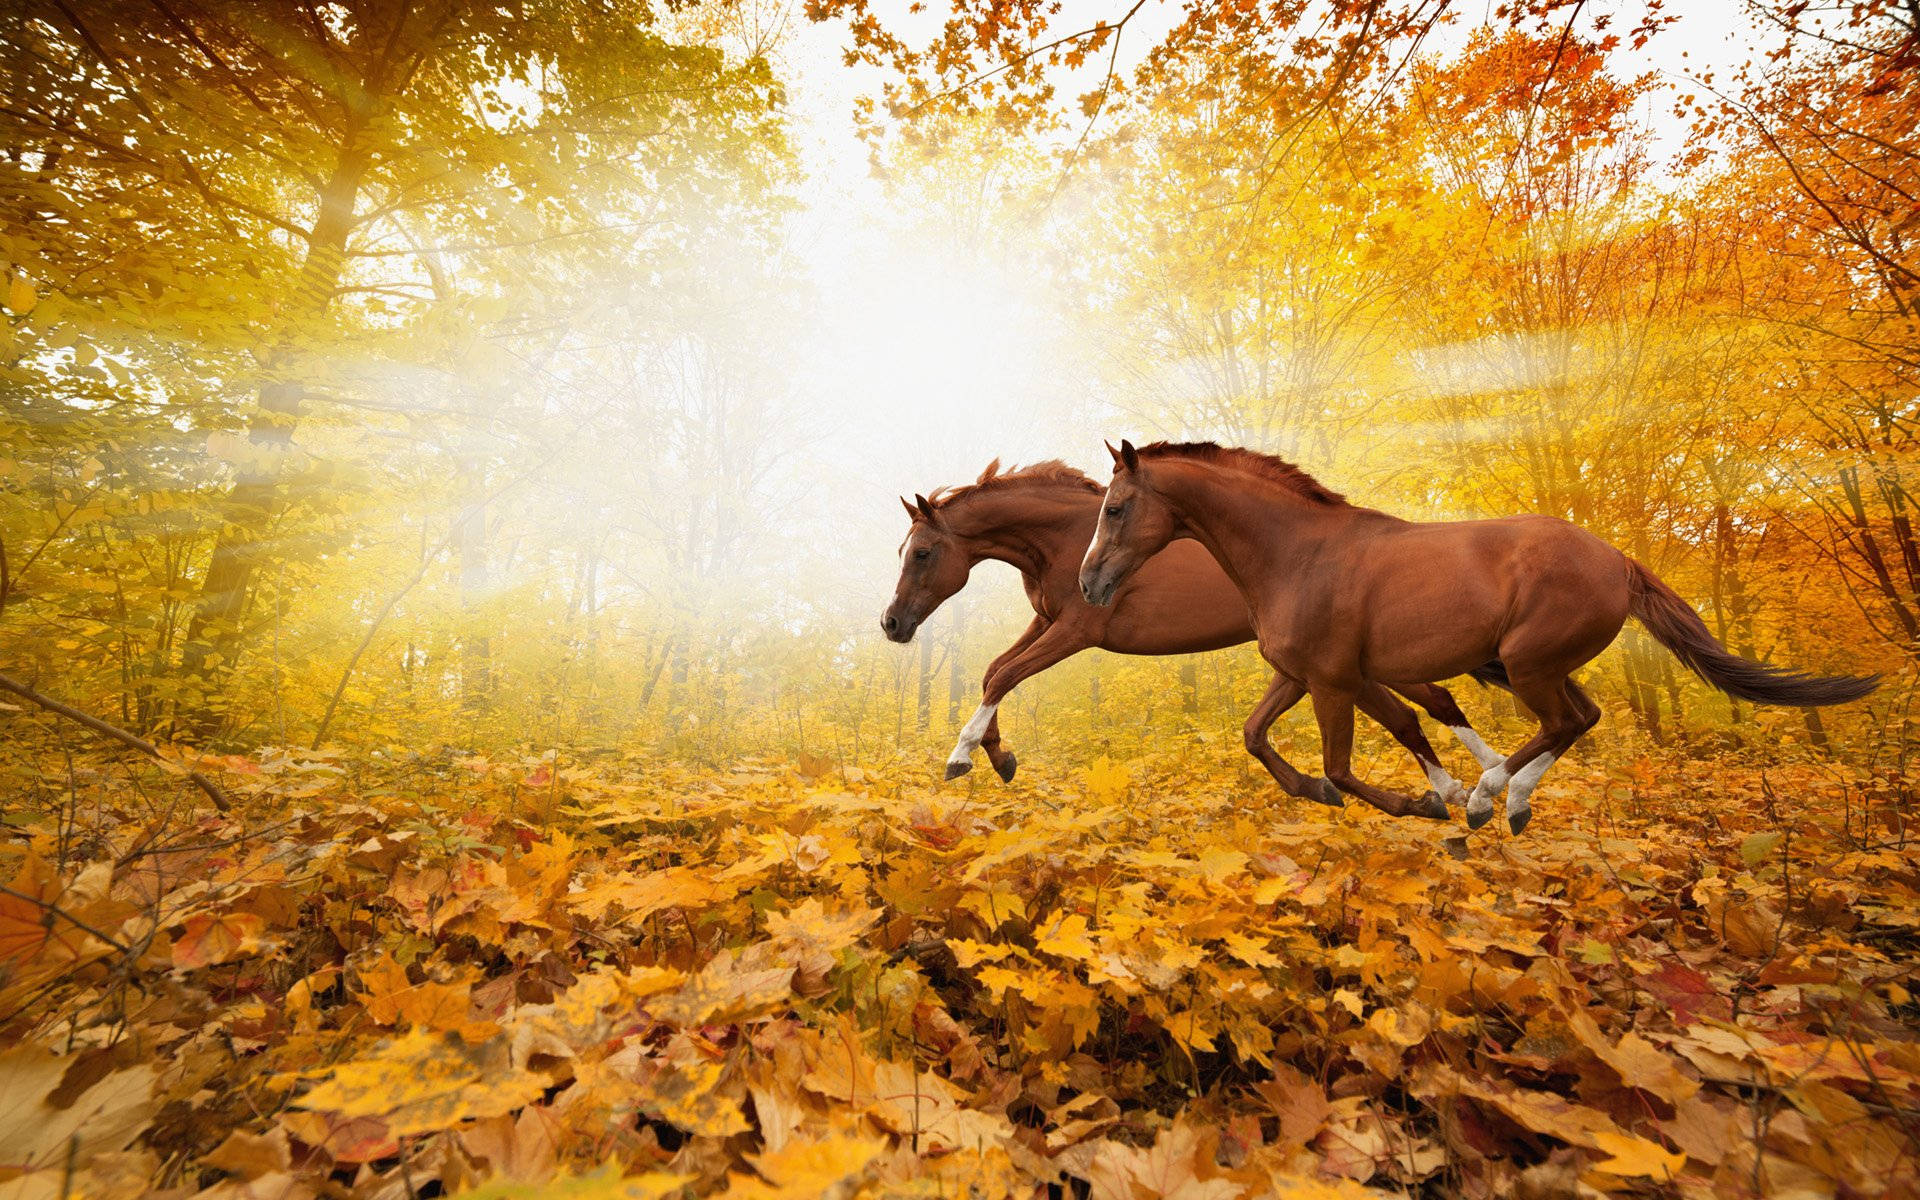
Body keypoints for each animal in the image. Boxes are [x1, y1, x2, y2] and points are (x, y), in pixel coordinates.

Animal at [882, 459, 1503, 819]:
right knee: (1430, 704)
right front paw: (1001, 757)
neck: (1064, 541)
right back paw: (1473, 786)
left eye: (922, 553)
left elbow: (1005, 676)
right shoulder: (1046, 623)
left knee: (1433, 702)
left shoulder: (1075, 631)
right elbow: (994, 673)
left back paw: (1477, 783)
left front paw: (963, 756)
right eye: (903, 551)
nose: (891, 623)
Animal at [1078, 439, 1879, 833]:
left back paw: (1490, 799)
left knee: (1563, 723)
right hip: (1531, 665)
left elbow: (1352, 762)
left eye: (1115, 508)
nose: (1088, 583)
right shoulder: (1304, 674)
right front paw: (1318, 791)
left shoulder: (1336, 679)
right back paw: (1513, 803)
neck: (1296, 552)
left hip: (1526, 665)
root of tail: (1616, 559)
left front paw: (1429, 801)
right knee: (1583, 718)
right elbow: (1257, 736)